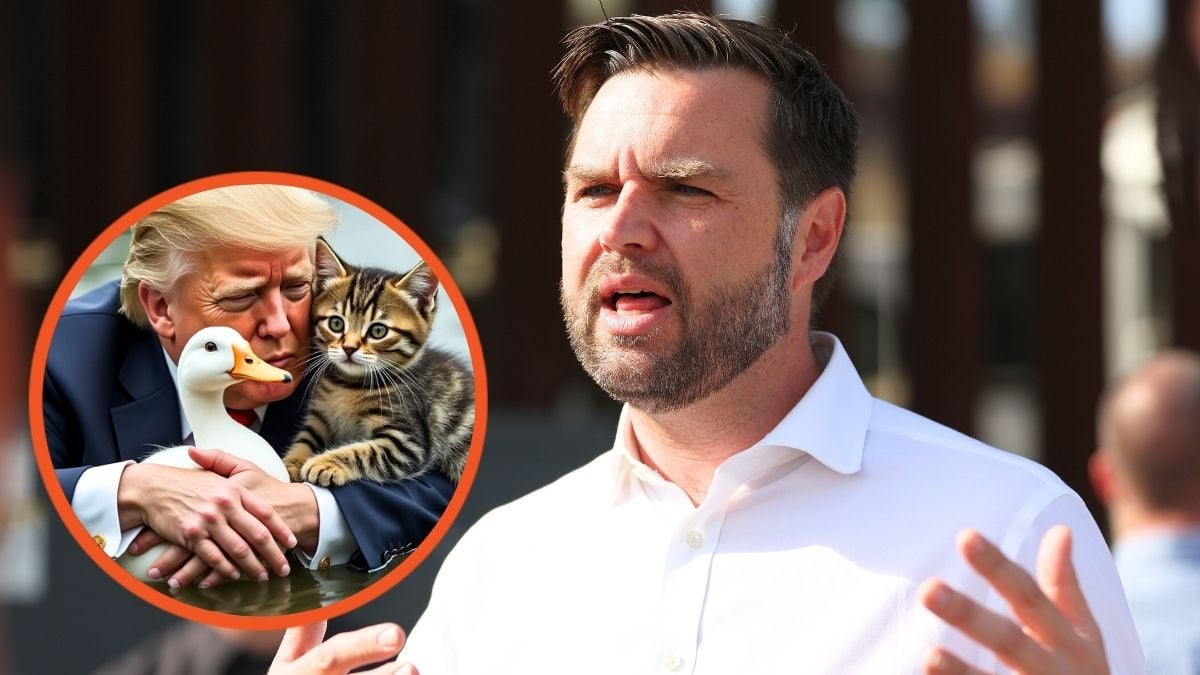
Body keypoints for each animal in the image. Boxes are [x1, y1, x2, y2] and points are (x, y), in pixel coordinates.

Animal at [283, 239, 475, 485]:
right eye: (336, 324)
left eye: (378, 331)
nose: (349, 348)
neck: (347, 385)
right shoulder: (319, 418)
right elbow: (305, 439)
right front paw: (291, 461)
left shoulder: (408, 443)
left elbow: (364, 452)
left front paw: (324, 462)